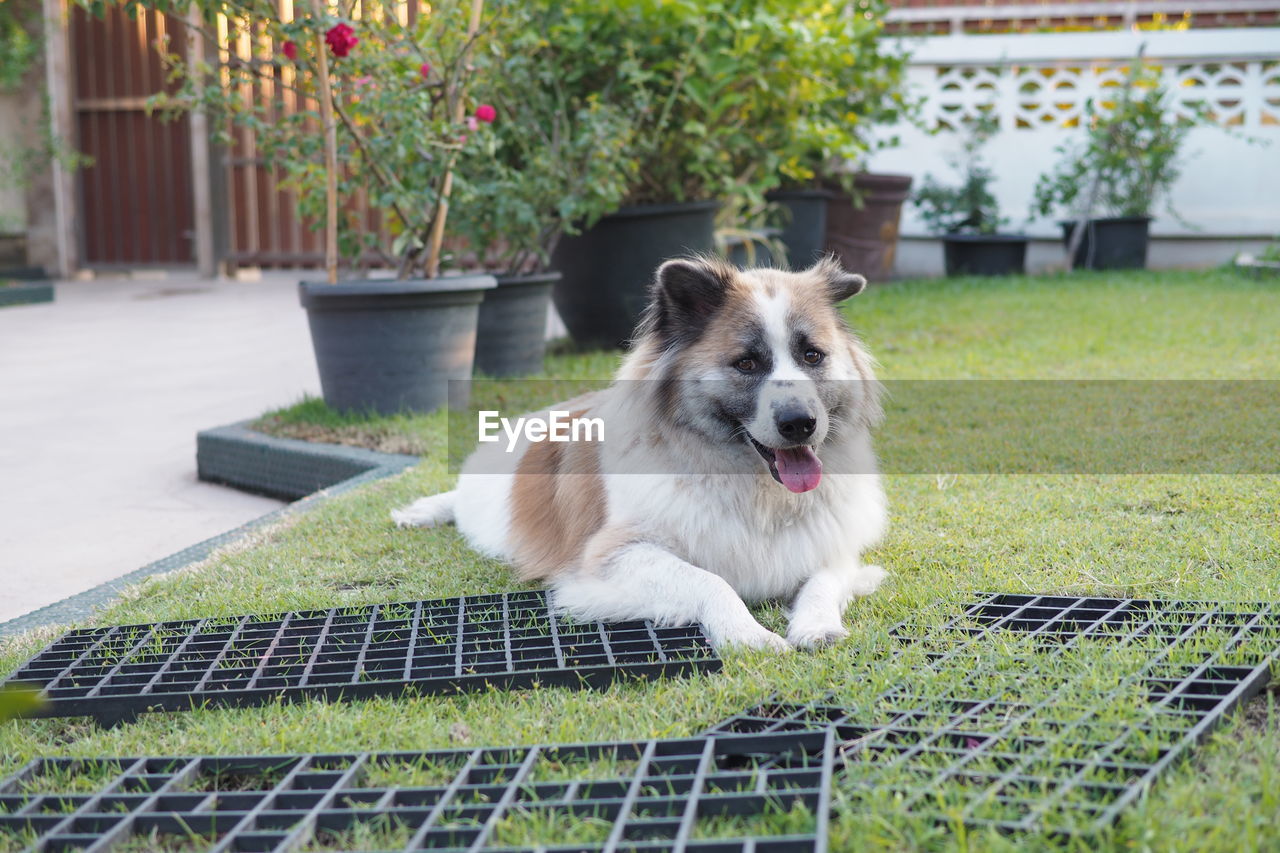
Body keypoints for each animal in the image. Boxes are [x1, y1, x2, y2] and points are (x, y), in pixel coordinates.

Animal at [394, 256, 885, 648]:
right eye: (746, 363)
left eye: (812, 356)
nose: (801, 423)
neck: (755, 491)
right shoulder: (611, 558)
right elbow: (710, 582)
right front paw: (747, 633)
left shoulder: (833, 548)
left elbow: (823, 581)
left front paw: (816, 625)